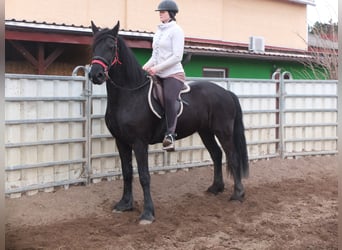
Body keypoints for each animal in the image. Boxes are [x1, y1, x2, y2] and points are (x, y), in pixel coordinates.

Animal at [88, 21, 248, 225]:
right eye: (93, 46)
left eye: (111, 47)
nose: (96, 75)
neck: (130, 94)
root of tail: (226, 92)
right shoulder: (121, 141)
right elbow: (127, 172)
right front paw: (124, 204)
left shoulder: (139, 143)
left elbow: (144, 176)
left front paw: (148, 213)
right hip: (205, 131)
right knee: (217, 154)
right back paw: (216, 188)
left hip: (223, 131)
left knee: (232, 157)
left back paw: (237, 194)